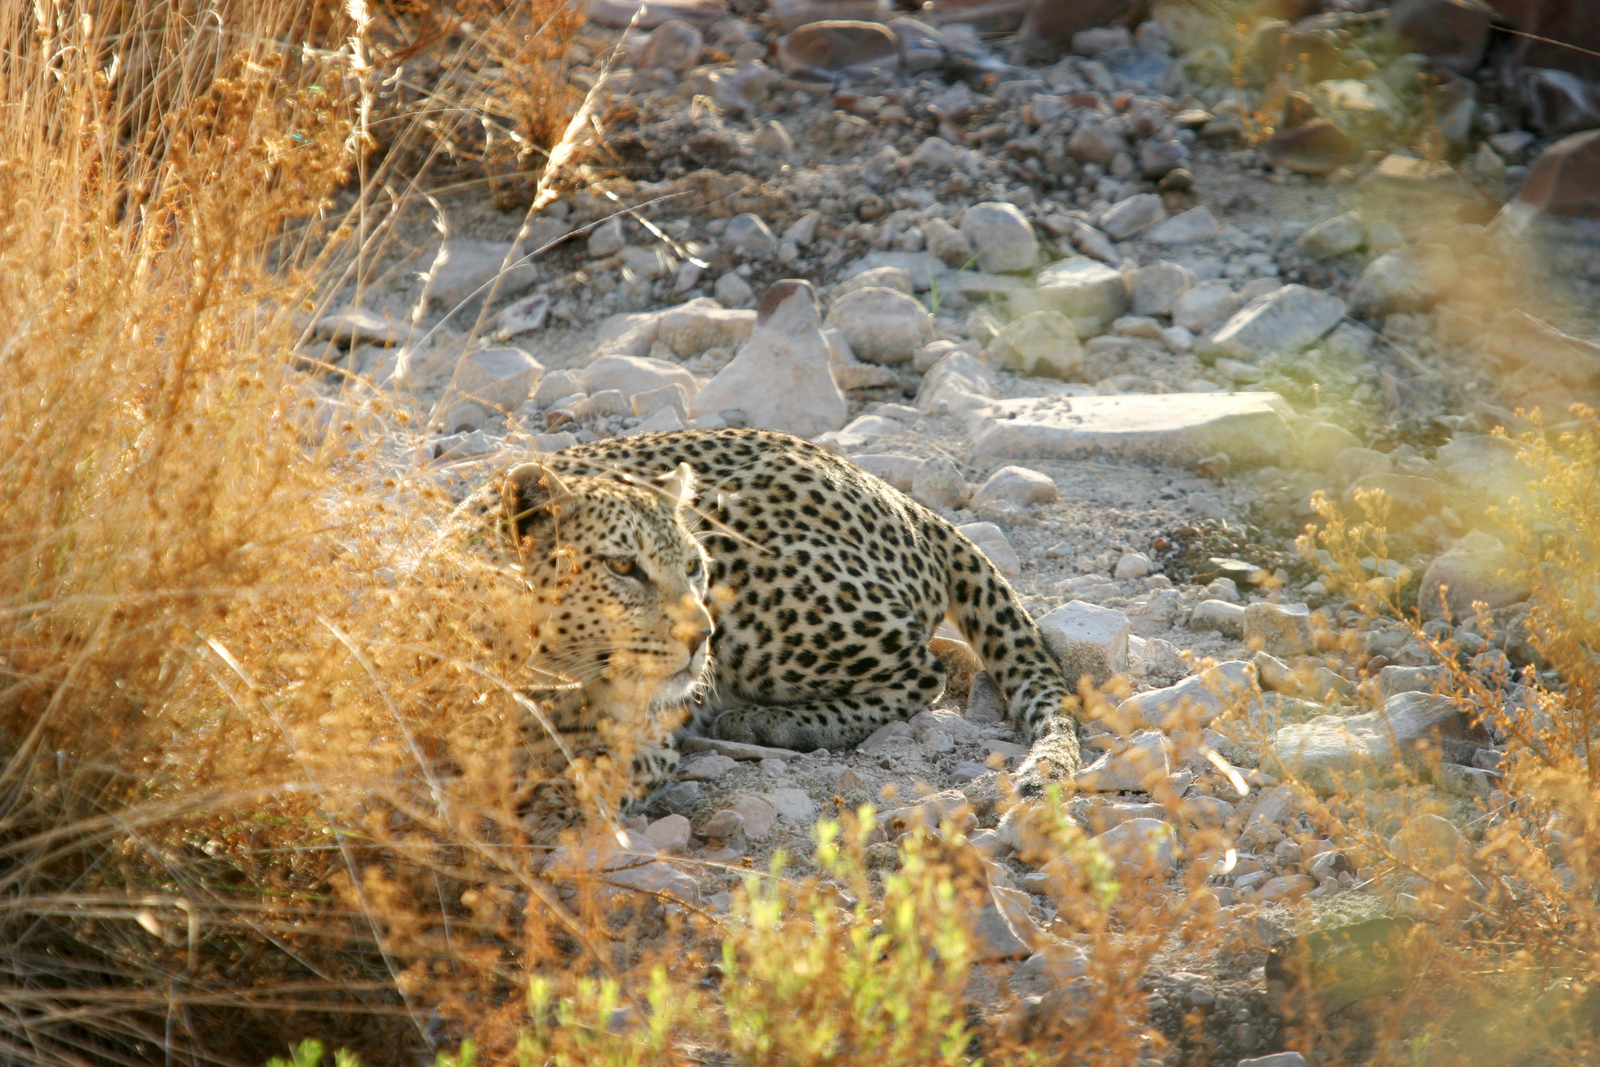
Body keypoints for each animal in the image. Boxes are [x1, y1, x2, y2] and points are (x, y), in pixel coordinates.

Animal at [463, 424, 1082, 796]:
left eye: (695, 566)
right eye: (622, 567)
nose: (701, 636)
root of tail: (900, 499)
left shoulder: (647, 742)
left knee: (922, 672)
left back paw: (768, 721)